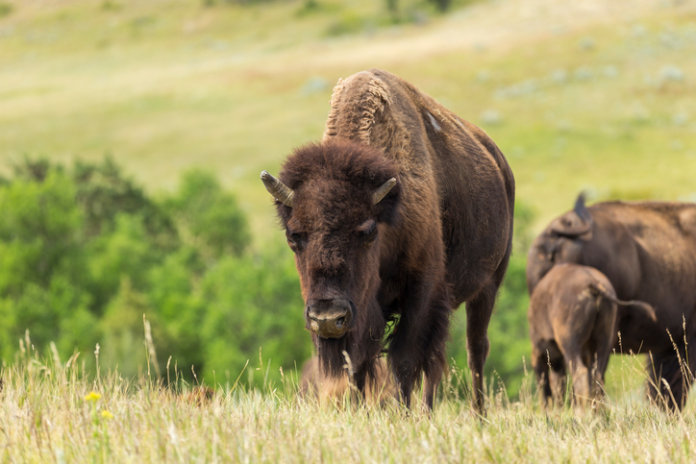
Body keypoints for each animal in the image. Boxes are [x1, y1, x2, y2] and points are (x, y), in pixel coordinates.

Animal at [260, 69, 512, 410]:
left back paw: (476, 414)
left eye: (367, 231)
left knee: (475, 350)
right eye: (293, 236)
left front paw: (403, 414)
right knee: (437, 362)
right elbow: (357, 365)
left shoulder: (421, 290)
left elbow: (404, 359)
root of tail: (499, 162)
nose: (327, 317)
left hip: (488, 285)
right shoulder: (363, 312)